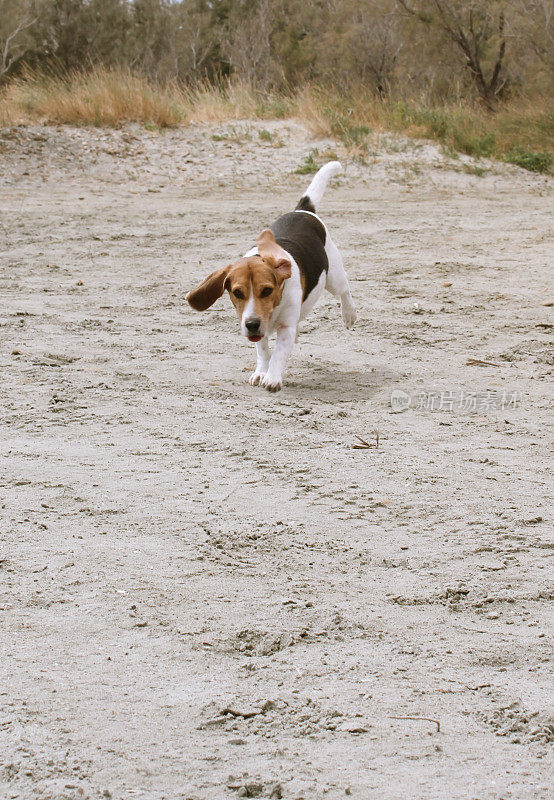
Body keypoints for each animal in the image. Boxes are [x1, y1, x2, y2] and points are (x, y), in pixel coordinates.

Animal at [188, 161, 356, 392]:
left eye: (267, 290)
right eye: (237, 293)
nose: (251, 324)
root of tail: (302, 210)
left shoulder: (284, 327)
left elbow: (278, 353)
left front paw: (272, 377)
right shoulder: (259, 327)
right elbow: (263, 351)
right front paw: (261, 371)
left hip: (333, 277)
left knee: (345, 289)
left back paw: (349, 315)